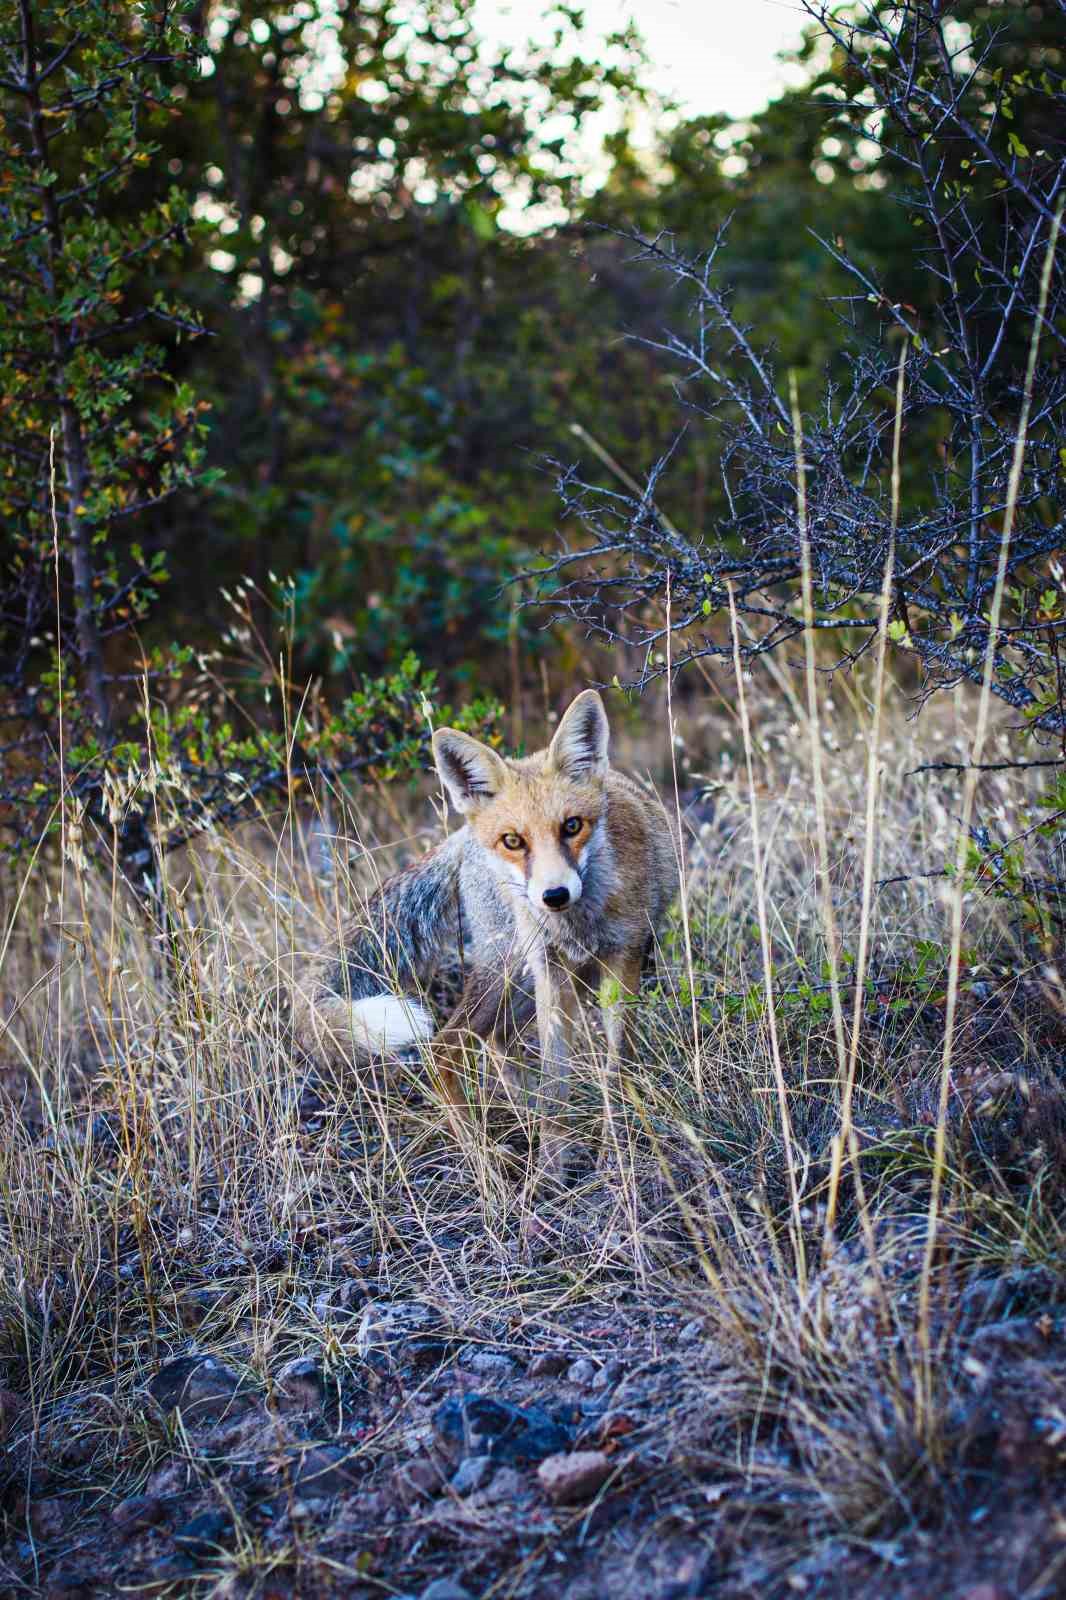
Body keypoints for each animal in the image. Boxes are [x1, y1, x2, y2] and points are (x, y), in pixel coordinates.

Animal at [294, 691, 675, 1177]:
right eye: (514, 840)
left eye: (572, 826)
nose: (554, 895)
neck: (578, 924)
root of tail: (462, 837)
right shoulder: (552, 972)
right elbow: (557, 1081)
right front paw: (555, 1167)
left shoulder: (622, 959)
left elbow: (614, 1067)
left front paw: (612, 1148)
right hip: (511, 969)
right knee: (445, 1048)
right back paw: (485, 1156)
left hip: (524, 984)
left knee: (495, 1041)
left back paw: (521, 1123)